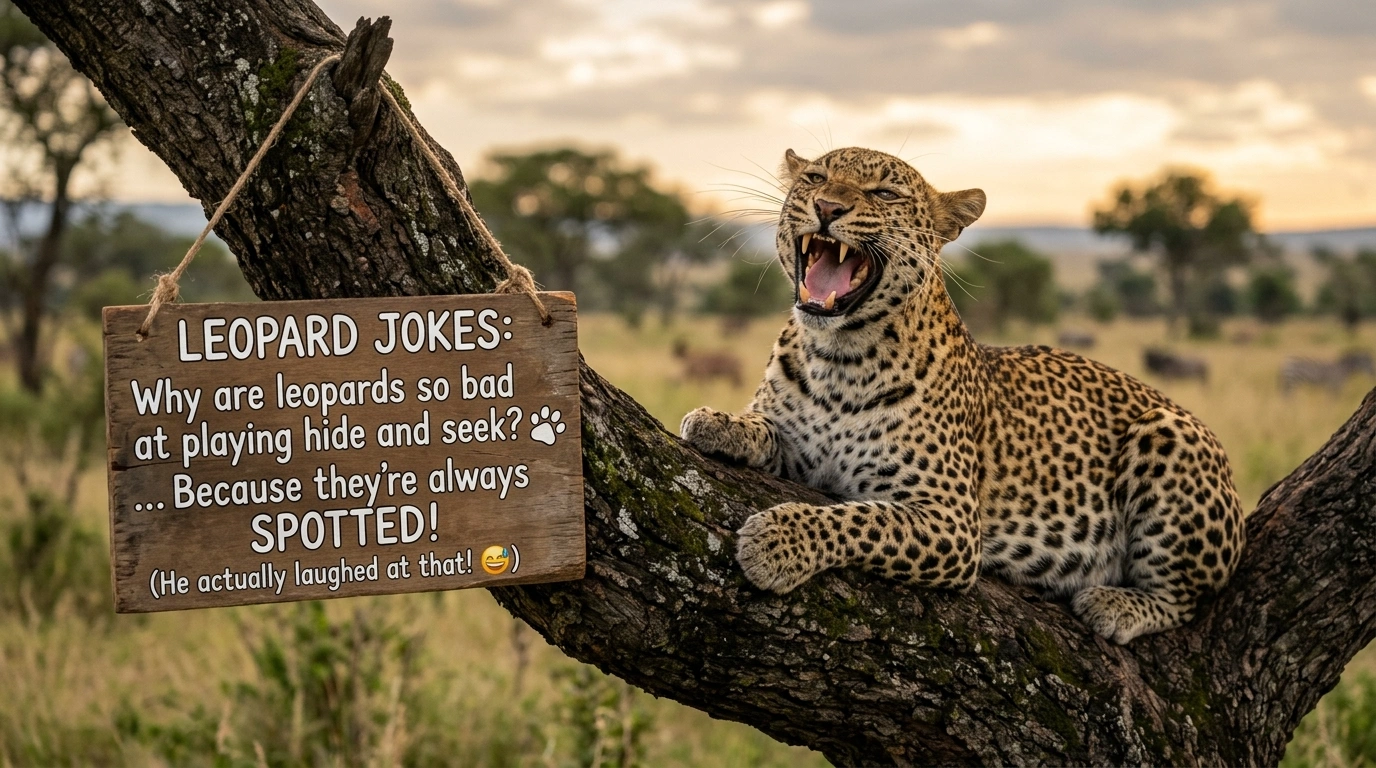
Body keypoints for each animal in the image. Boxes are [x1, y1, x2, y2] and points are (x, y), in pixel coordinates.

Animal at [679, 147, 1245, 644]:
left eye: (884, 193)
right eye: (815, 178)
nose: (827, 207)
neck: (838, 357)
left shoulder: (949, 519)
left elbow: (861, 519)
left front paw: (777, 542)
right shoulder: (801, 449)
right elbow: (767, 428)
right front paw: (716, 423)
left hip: (1171, 434)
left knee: (1187, 599)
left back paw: (1115, 605)